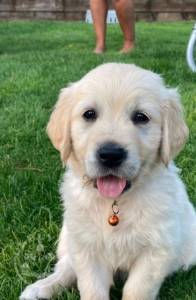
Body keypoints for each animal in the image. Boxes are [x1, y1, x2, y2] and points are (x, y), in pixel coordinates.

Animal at [20, 63, 196, 300]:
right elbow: (91, 287)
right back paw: (39, 288)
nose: (111, 154)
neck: (115, 203)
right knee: (66, 267)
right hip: (68, 235)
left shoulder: (157, 249)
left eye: (141, 117)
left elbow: (136, 289)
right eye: (89, 114)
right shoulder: (86, 247)